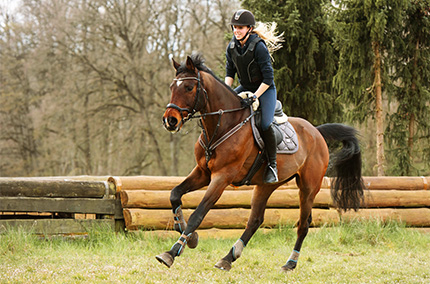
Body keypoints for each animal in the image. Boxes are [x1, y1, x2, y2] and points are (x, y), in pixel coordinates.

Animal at [156, 54, 364, 272]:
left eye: (189, 88)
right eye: (172, 87)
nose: (170, 120)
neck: (223, 125)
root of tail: (317, 132)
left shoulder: (222, 177)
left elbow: (198, 214)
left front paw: (172, 252)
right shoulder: (203, 173)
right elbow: (174, 194)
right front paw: (187, 233)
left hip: (308, 187)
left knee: (303, 224)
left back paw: (290, 263)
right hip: (266, 185)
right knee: (255, 220)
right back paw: (228, 258)